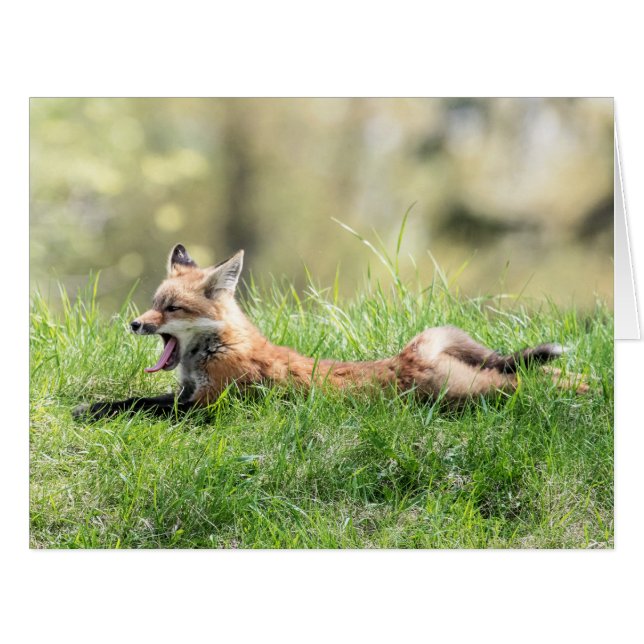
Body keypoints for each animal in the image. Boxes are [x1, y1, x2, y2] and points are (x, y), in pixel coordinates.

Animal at [74, 243, 588, 420]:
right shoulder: (184, 396)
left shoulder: (207, 408)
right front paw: (93, 406)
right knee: (525, 373)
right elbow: (131, 400)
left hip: (469, 393)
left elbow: (142, 408)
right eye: (153, 304)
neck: (216, 349)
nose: (134, 323)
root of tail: (407, 356)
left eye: (171, 308)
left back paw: (581, 389)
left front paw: (94, 412)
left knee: (522, 381)